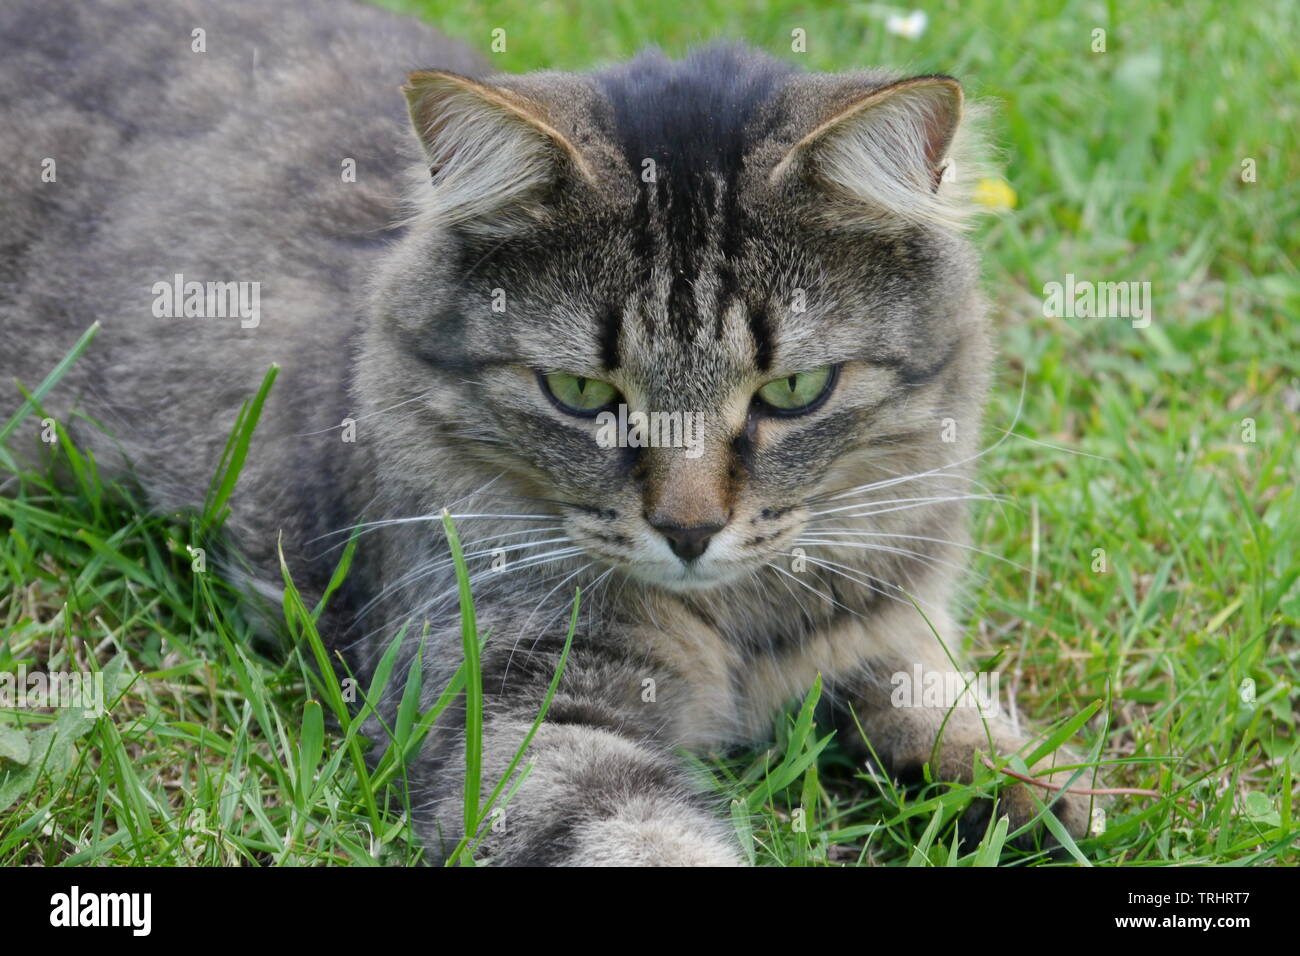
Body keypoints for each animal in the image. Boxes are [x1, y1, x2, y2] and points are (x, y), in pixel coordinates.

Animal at [2, 0, 1097, 868]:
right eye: (579, 392)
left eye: (795, 391)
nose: (689, 532)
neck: (734, 632)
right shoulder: (518, 709)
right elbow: (650, 839)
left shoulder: (882, 629)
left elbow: (954, 721)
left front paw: (1050, 804)